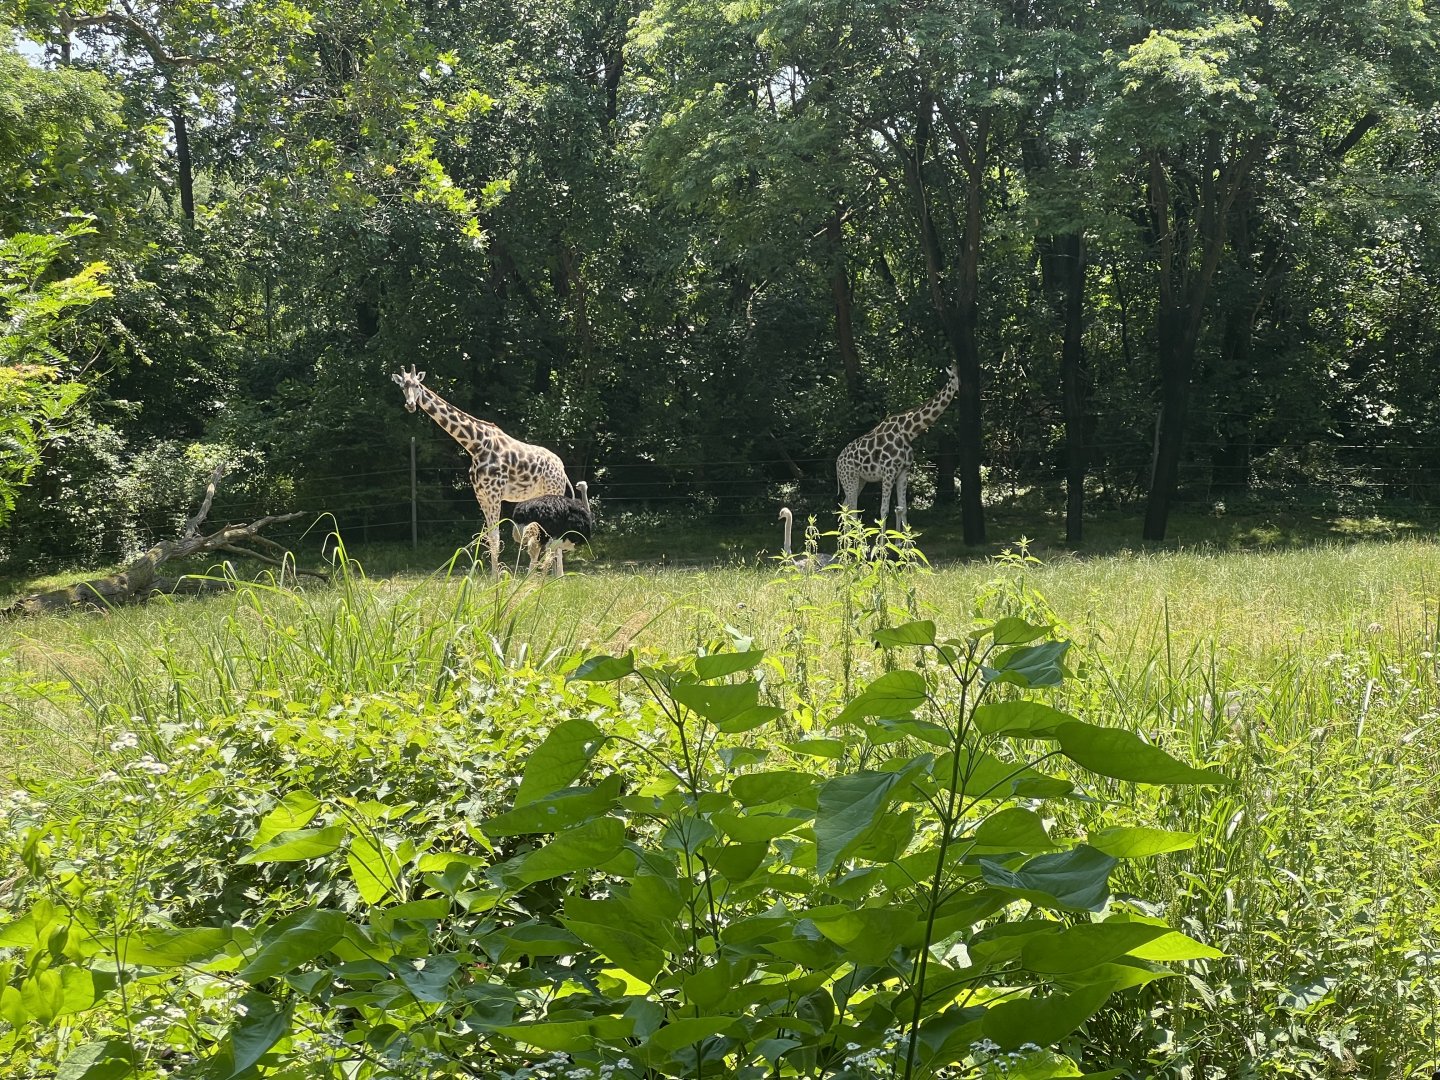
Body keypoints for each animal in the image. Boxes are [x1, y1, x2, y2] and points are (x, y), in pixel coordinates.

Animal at [391, 365, 571, 575]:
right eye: (402, 386)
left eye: (417, 385)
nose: (410, 405)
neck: (475, 445)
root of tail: (562, 467)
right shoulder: (481, 495)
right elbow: (489, 538)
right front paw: (493, 579)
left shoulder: (494, 494)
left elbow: (496, 538)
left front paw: (496, 580)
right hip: (537, 496)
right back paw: (540, 576)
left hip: (553, 492)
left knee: (556, 535)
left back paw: (557, 577)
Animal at [835, 363, 959, 531]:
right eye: (952, 376)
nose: (960, 387)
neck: (908, 432)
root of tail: (837, 462)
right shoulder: (888, 472)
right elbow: (884, 510)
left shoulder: (903, 471)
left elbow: (904, 508)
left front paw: (904, 538)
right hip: (849, 478)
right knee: (851, 510)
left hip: (860, 480)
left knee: (846, 507)